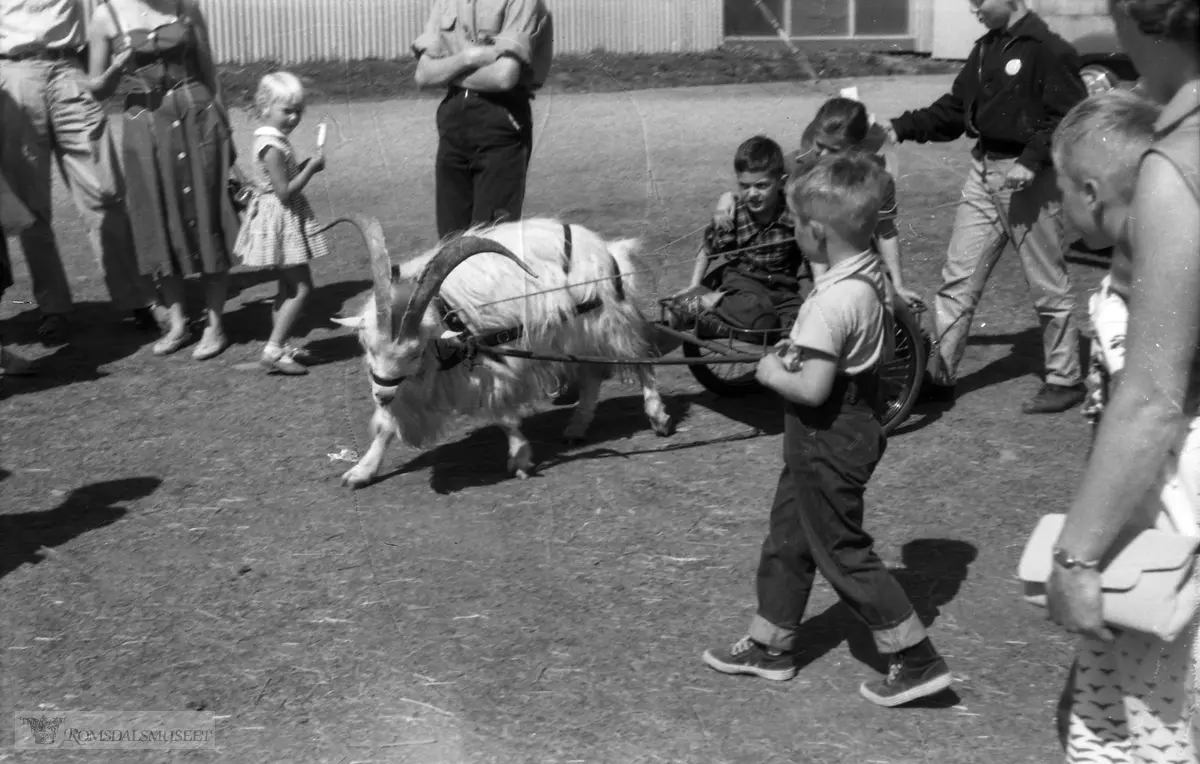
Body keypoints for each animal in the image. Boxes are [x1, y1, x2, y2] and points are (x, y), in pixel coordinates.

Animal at [328, 214, 676, 489]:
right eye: (369, 348)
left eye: (415, 352)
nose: (381, 395)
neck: (444, 311)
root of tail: (607, 250)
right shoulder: (407, 384)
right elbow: (386, 425)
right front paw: (360, 472)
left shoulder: (495, 363)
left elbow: (502, 414)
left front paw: (520, 458)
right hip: (577, 336)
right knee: (591, 377)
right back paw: (576, 428)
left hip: (608, 321)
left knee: (640, 359)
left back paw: (658, 418)